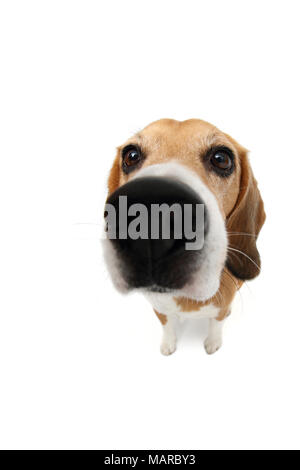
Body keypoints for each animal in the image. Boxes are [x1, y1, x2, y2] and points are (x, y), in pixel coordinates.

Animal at [102, 119, 264, 354]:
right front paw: (168, 344)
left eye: (221, 159)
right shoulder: (159, 308)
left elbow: (216, 324)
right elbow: (167, 324)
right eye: (131, 155)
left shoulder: (220, 309)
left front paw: (213, 343)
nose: (153, 211)